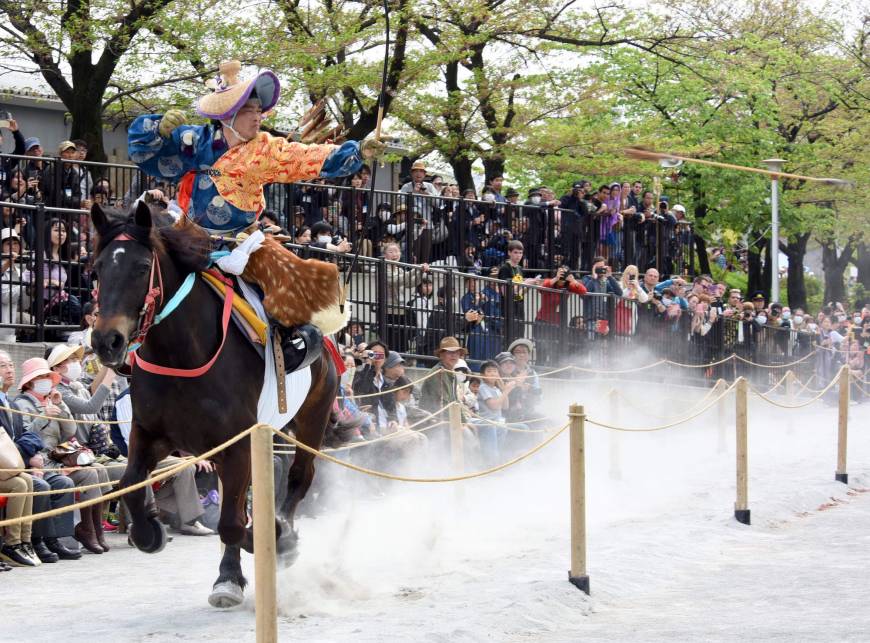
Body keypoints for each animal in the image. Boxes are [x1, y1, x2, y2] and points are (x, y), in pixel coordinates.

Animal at [89, 201, 340, 608]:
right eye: (97, 270)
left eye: (141, 268)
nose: (106, 341)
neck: (181, 355)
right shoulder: (150, 434)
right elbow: (130, 484)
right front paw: (151, 530)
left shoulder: (237, 445)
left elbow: (232, 524)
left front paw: (276, 539)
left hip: (313, 417)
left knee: (299, 477)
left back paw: (280, 533)